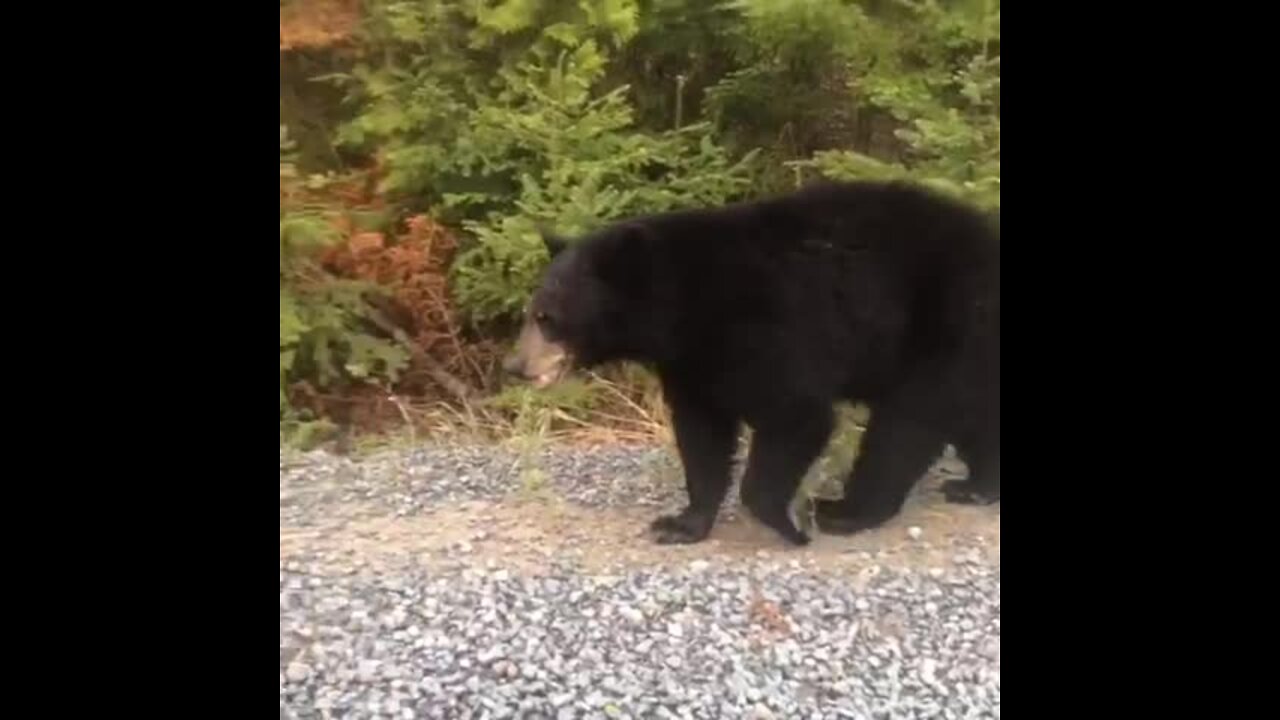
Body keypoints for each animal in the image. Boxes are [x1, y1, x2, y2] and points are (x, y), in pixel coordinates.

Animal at [501, 179, 998, 543]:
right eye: (531, 311)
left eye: (547, 317)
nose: (515, 365)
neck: (686, 304)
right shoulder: (692, 364)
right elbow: (702, 436)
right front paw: (681, 523)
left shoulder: (766, 329)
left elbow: (797, 414)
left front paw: (786, 525)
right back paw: (977, 485)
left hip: (947, 323)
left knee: (907, 422)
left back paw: (848, 511)